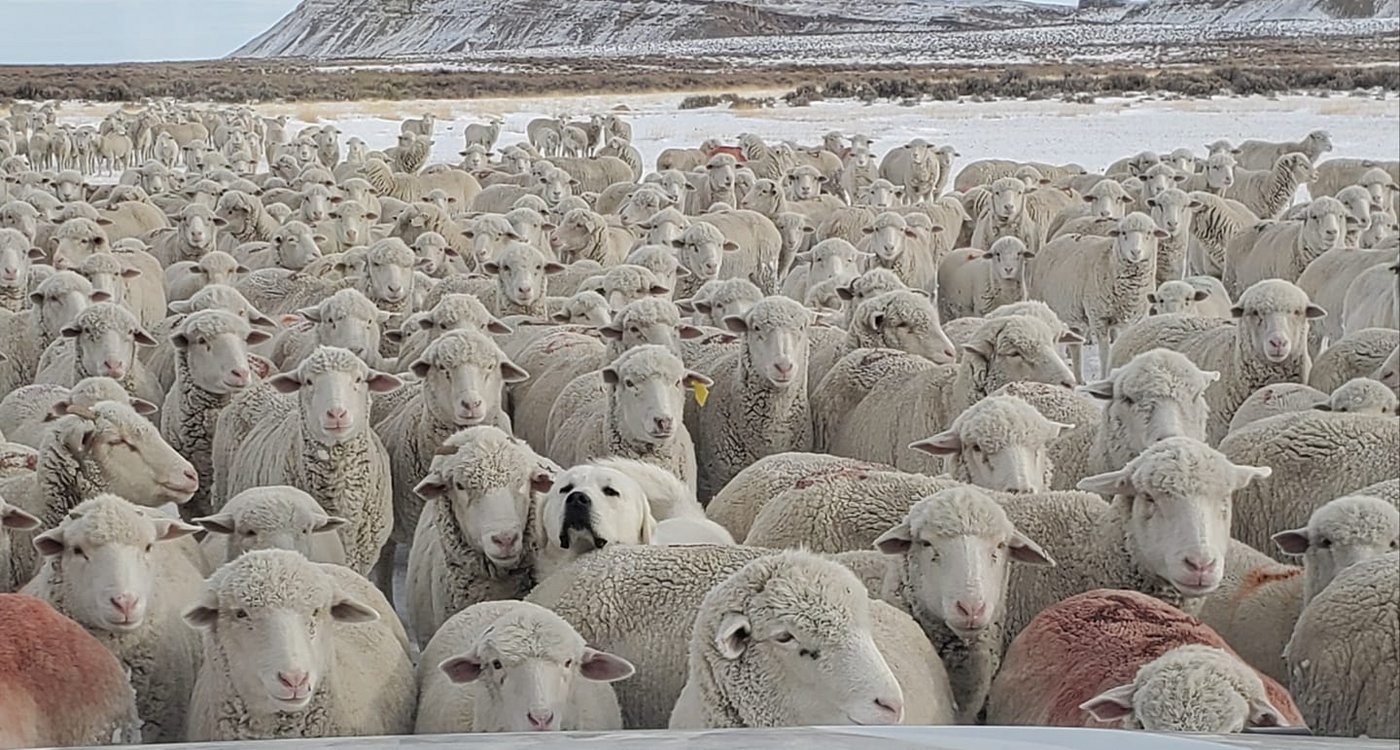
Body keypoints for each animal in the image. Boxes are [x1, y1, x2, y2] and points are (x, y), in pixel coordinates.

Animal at [1032, 212, 1164, 382]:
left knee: (1075, 347)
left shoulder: (1132, 320)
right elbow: (1104, 353)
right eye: (1123, 233)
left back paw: (1080, 379)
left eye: (1149, 233)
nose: (1136, 252)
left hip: (1073, 315)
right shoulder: (1099, 317)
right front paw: (1104, 377)